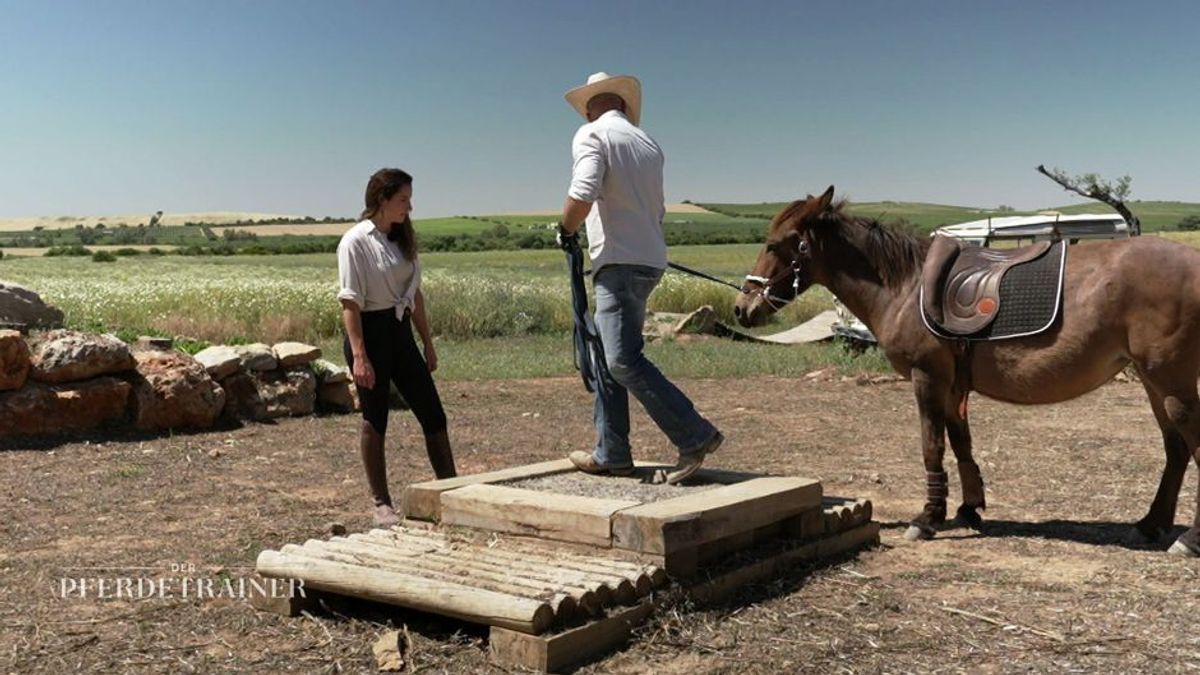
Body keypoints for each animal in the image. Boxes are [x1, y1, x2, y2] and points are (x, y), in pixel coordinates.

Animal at [734, 183, 1200, 552]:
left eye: (776, 244)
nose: (742, 308)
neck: (905, 286)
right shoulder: (954, 386)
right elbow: (961, 444)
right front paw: (968, 508)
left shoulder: (927, 377)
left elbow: (932, 445)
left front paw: (927, 518)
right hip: (1153, 382)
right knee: (1175, 450)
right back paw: (1151, 524)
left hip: (1170, 382)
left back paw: (1189, 539)